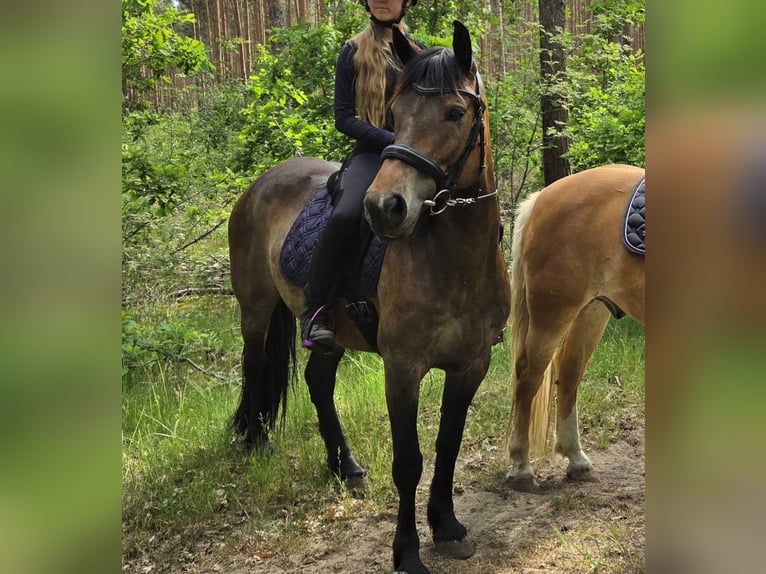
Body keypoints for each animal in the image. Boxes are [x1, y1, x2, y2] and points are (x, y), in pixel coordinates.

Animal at [227, 21, 510, 574]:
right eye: (394, 116)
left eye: (455, 113)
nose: (384, 207)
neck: (456, 262)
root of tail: (258, 186)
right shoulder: (402, 368)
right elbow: (409, 462)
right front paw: (407, 552)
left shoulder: (472, 364)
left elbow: (448, 446)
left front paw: (447, 527)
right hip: (255, 311)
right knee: (255, 369)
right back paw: (256, 443)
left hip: (331, 330)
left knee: (317, 382)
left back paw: (347, 467)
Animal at [505, 164, 645, 493]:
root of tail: (541, 198)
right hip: (552, 314)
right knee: (528, 377)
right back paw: (521, 467)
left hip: (592, 311)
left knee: (568, 373)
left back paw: (576, 460)